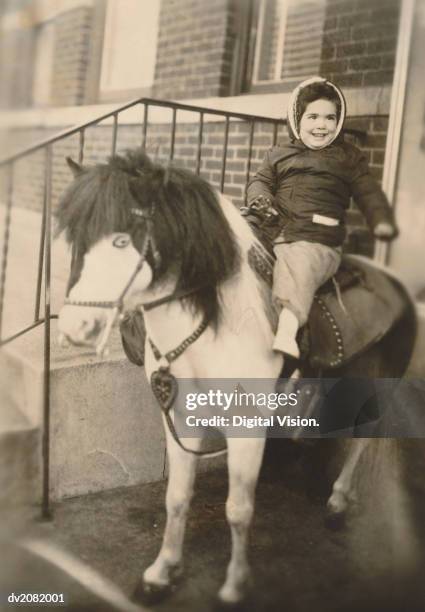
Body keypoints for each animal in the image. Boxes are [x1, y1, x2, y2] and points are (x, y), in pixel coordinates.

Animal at [55, 149, 414, 608]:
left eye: (122, 239)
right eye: (75, 239)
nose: (75, 327)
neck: (210, 327)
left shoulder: (246, 430)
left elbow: (238, 510)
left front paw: (235, 584)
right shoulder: (180, 421)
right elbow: (177, 498)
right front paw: (161, 573)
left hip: (376, 386)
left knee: (366, 435)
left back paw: (337, 501)